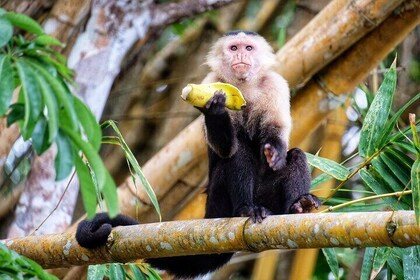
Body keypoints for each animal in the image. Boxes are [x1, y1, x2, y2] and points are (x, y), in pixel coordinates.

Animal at [75, 30, 320, 278]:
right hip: (219, 201)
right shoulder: (209, 80)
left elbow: (277, 130)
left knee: (296, 156)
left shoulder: (275, 84)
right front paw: (216, 108)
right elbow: (227, 148)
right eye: (233, 48)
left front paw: (275, 151)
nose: (241, 55)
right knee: (237, 156)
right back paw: (246, 209)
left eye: (248, 48)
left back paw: (299, 205)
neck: (244, 86)